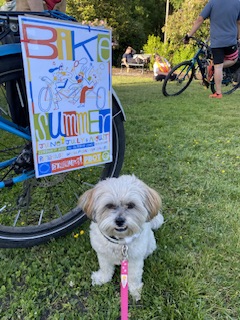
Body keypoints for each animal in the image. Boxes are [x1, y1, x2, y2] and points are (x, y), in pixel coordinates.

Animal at [79, 174, 163, 302]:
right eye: (109, 205)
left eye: (131, 205)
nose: (119, 221)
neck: (120, 241)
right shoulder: (103, 255)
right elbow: (105, 268)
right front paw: (102, 278)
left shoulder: (135, 260)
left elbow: (134, 276)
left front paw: (135, 290)